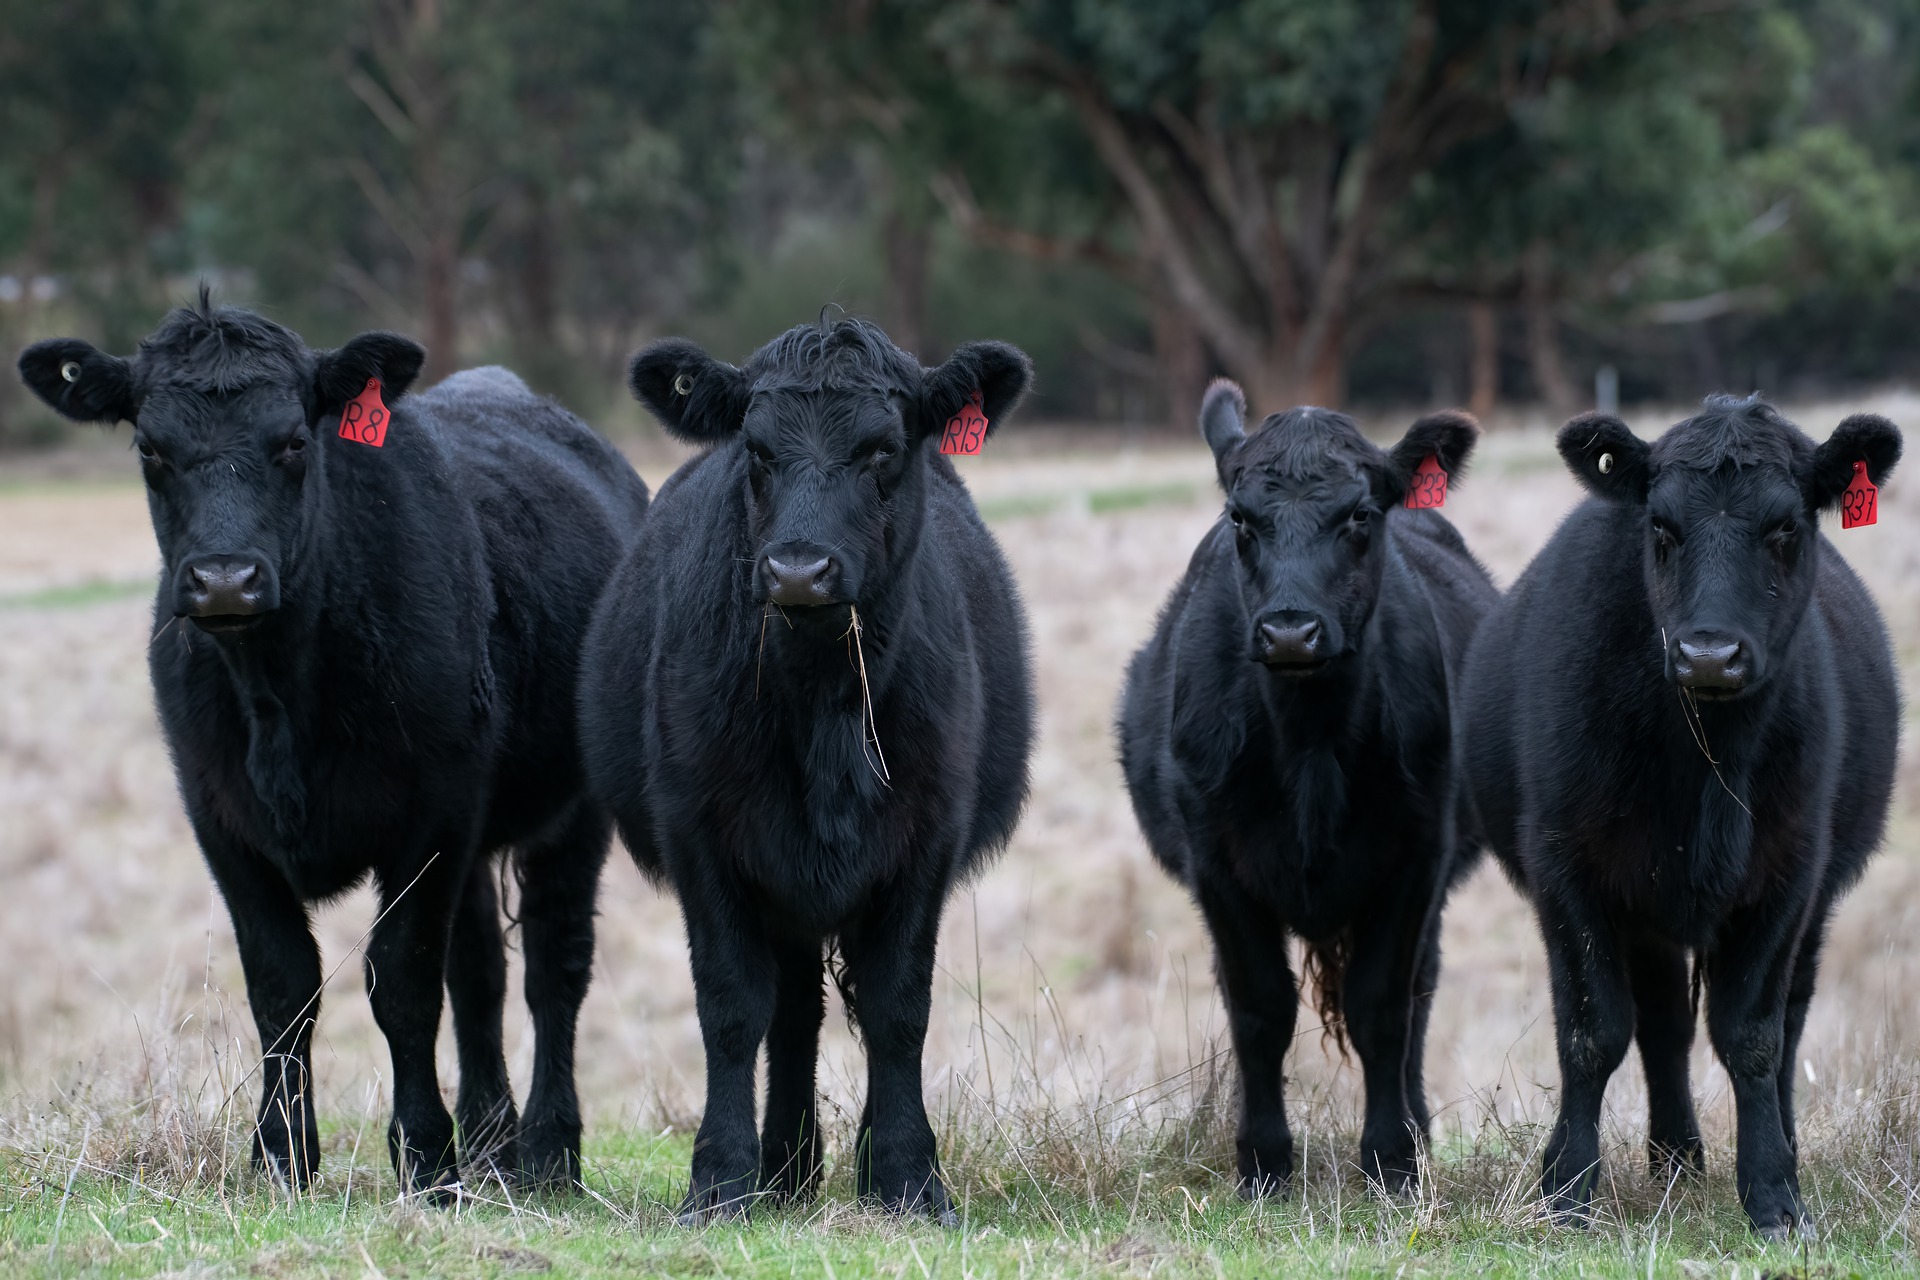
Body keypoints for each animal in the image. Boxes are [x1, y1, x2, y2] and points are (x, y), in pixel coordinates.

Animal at [15, 289, 656, 1205]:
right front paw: (281, 1153)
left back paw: (546, 1151)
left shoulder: (431, 815)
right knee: (482, 974)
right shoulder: (221, 818)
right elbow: (283, 983)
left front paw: (425, 1157)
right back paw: (491, 1141)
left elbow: (403, 981)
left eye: (292, 441)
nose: (223, 579)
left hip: (574, 812)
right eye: (150, 448)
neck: (280, 697)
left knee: (553, 964)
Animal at [576, 314, 1036, 1228]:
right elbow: (730, 1008)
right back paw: (785, 1169)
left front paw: (909, 1177)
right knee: (791, 1012)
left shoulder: (926, 841)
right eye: (756, 449)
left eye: (883, 449)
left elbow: (899, 1008)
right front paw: (720, 1180)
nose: (797, 570)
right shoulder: (702, 837)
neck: (822, 699)